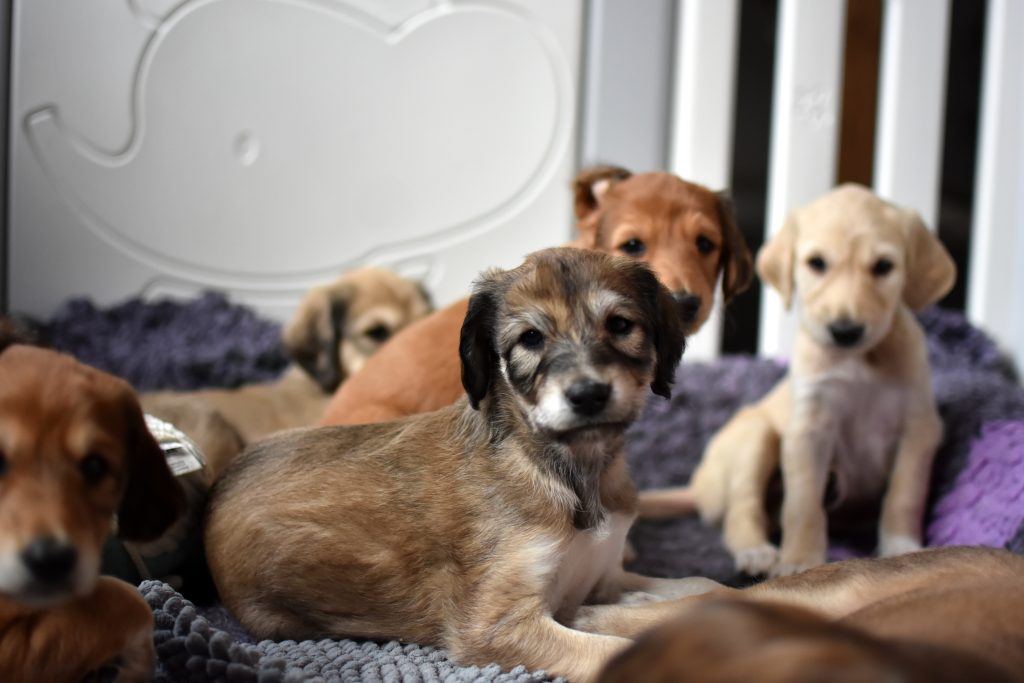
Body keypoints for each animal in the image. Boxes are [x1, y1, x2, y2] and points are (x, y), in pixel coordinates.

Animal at [205, 248, 721, 683]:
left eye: (620, 325)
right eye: (530, 338)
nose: (588, 394)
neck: (571, 473)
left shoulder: (604, 575)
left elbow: (704, 585)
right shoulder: (495, 625)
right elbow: (616, 650)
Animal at [637, 184, 957, 577]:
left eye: (884, 266)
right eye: (816, 263)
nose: (845, 331)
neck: (859, 362)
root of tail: (697, 487)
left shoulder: (918, 426)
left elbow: (905, 493)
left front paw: (901, 547)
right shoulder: (808, 429)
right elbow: (804, 504)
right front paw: (802, 560)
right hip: (754, 438)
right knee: (741, 511)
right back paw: (755, 552)